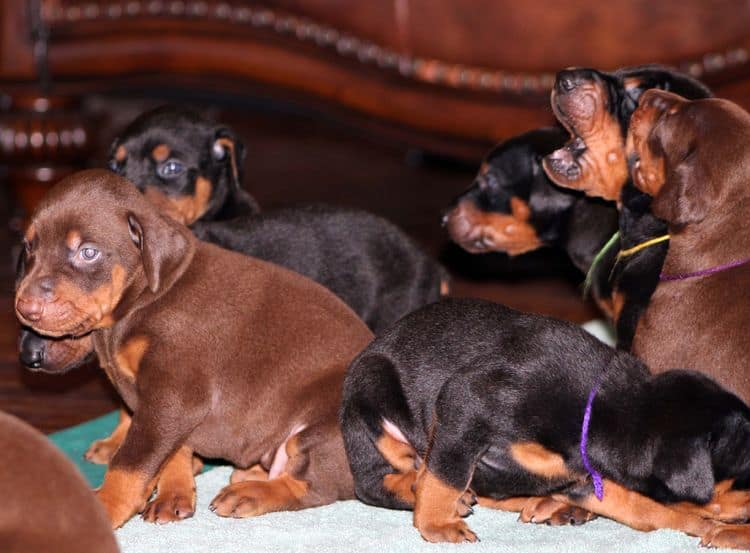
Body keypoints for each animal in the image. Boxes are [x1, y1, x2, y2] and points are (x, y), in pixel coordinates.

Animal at [13, 169, 374, 528]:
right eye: (29, 246)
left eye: (88, 252)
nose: (25, 308)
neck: (145, 297)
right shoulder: (166, 404)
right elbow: (174, 451)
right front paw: (174, 494)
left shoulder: (175, 395)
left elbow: (131, 462)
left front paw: (103, 507)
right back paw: (249, 474)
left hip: (322, 430)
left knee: (313, 487)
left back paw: (250, 493)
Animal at [344, 298, 750, 548]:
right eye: (740, 470)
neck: (604, 408)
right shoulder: (467, 402)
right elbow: (446, 474)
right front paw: (437, 525)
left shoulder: (584, 478)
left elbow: (651, 511)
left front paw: (718, 531)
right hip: (371, 392)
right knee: (374, 481)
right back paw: (425, 489)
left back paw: (546, 505)